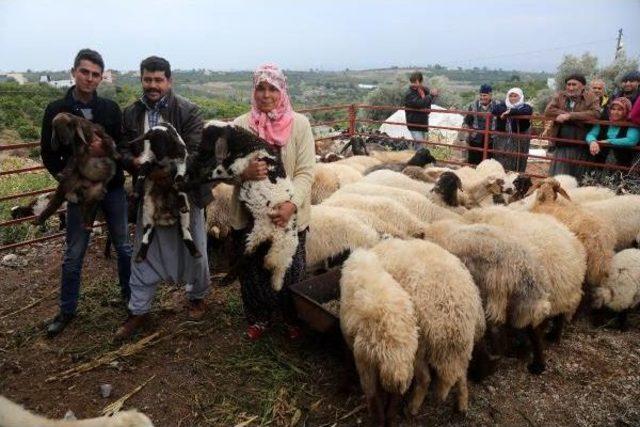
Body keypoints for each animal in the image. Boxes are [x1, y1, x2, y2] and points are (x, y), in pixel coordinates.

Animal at [340, 249, 420, 426]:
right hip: (406, 366)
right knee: (394, 401)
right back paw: (390, 420)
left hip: (366, 364)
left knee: (373, 397)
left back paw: (377, 420)